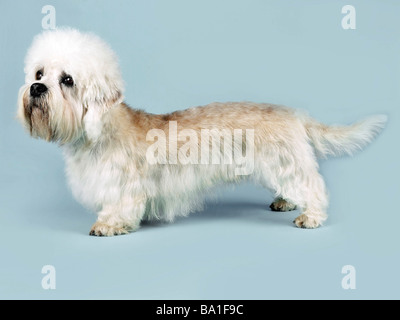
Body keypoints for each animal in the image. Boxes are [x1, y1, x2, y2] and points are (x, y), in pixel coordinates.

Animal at [17, 28, 386, 236]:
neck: (97, 132)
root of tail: (294, 114)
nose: (35, 88)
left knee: (313, 187)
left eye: (67, 80)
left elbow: (119, 208)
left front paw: (109, 225)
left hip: (287, 162)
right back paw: (285, 201)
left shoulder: (122, 187)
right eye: (39, 72)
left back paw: (311, 216)